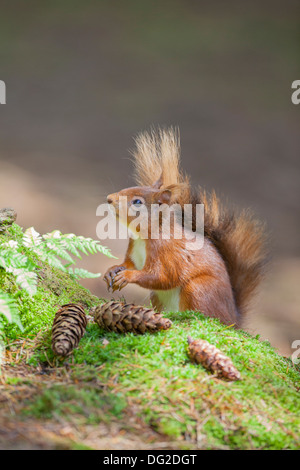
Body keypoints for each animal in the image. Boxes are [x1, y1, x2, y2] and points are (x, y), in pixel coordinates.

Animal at [104, 129, 266, 326]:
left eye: (137, 202)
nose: (109, 198)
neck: (144, 236)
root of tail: (233, 318)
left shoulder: (168, 252)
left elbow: (163, 276)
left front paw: (127, 276)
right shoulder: (134, 251)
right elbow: (129, 264)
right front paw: (112, 270)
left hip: (198, 289)